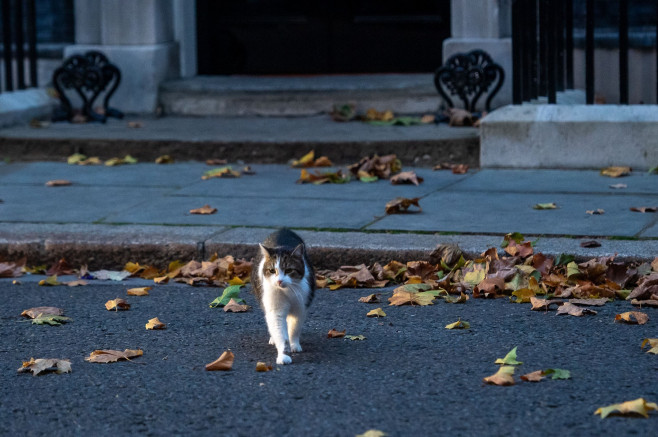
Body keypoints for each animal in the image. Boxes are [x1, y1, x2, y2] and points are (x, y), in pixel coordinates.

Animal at [250, 228, 314, 364]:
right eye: (272, 270)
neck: (287, 291)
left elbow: (294, 328)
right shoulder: (275, 309)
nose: (279, 281)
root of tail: (282, 229)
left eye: (289, 270)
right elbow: (279, 330)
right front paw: (283, 354)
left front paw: (294, 344)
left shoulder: (301, 307)